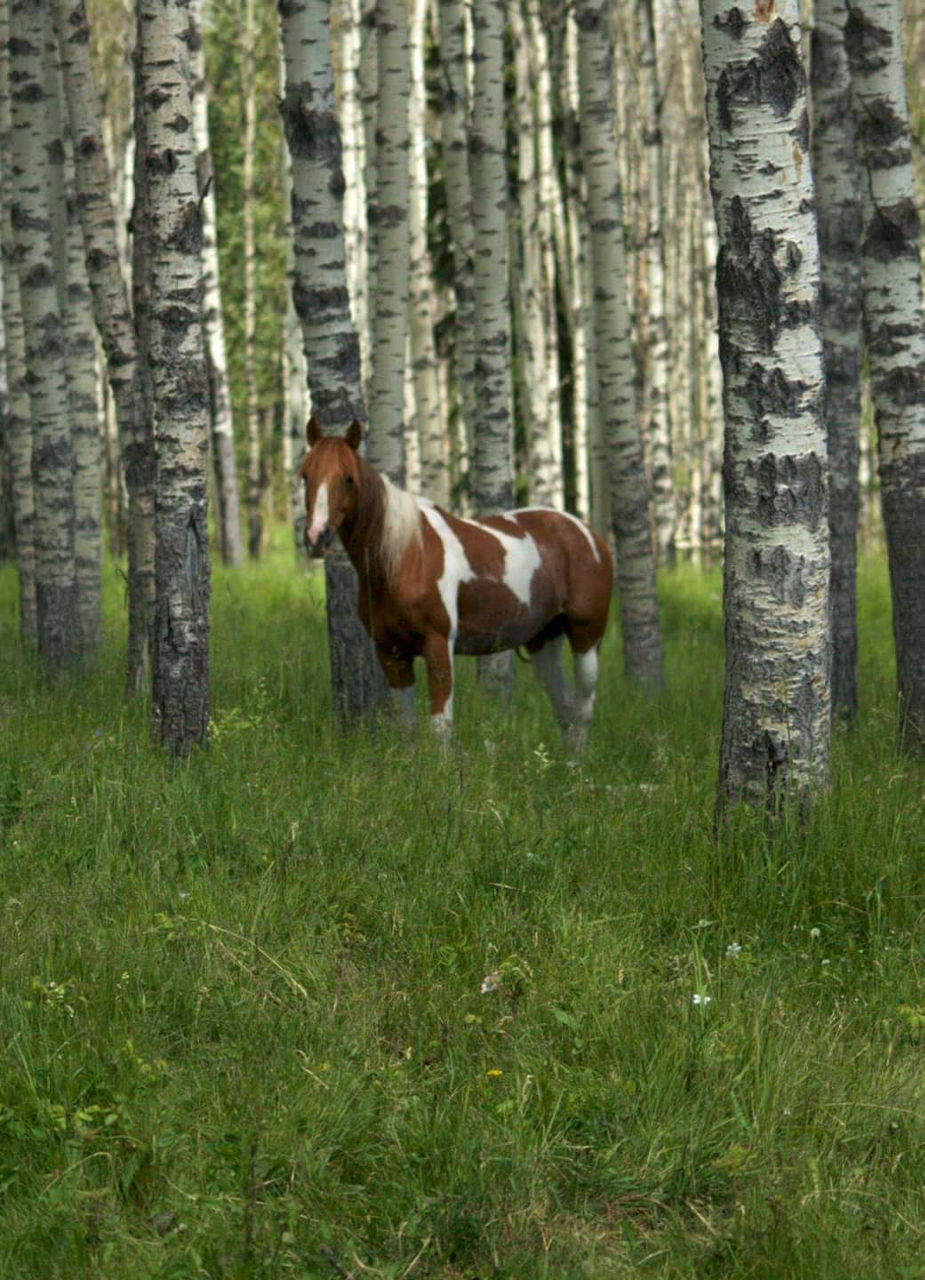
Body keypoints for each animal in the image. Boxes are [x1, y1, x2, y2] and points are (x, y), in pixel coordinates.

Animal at [298, 414, 614, 747]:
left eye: (348, 478)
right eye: (305, 476)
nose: (316, 537)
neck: (406, 557)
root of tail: (587, 533)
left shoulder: (438, 646)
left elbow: (441, 729)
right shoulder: (392, 653)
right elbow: (408, 728)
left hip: (586, 637)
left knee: (583, 710)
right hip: (543, 640)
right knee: (565, 710)